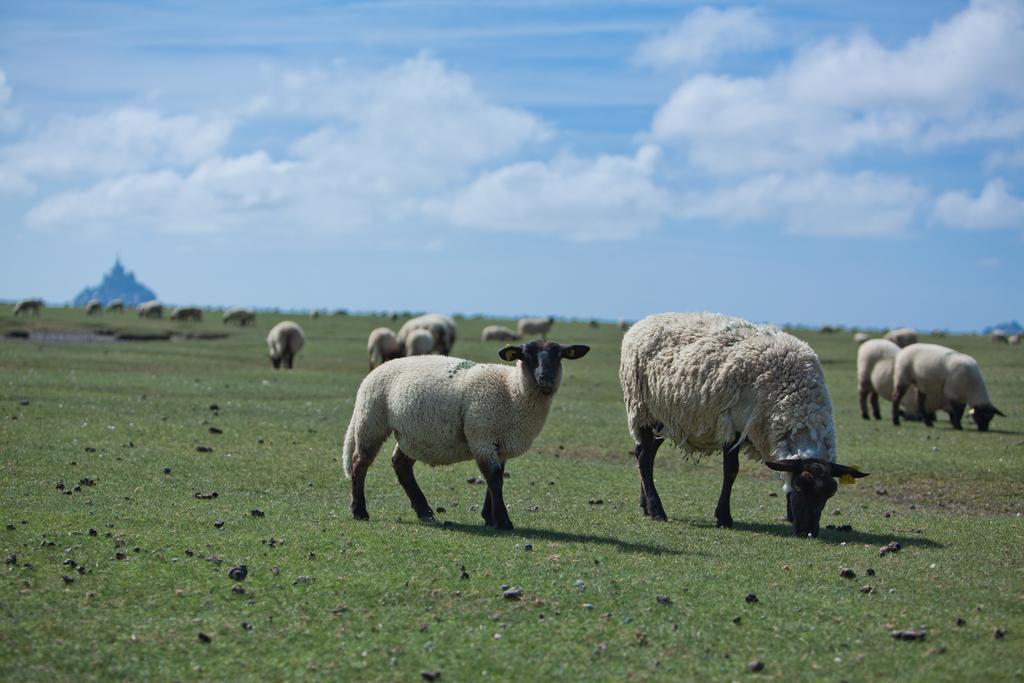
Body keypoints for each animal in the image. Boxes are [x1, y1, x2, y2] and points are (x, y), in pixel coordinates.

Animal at [342, 340, 590, 528]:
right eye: (526, 355)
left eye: (560, 356)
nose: (546, 379)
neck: (512, 390)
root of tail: (377, 369)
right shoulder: (482, 436)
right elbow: (494, 478)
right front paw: (502, 521)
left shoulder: (499, 443)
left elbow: (496, 478)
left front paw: (489, 517)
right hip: (371, 420)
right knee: (359, 463)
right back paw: (359, 511)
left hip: (413, 434)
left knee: (401, 465)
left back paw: (424, 511)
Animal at [620, 312, 868, 537]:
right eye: (800, 487)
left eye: (829, 494)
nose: (808, 532)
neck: (796, 398)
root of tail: (640, 323)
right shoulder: (732, 425)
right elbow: (731, 471)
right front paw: (723, 518)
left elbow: (783, 471)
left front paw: (789, 514)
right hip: (644, 410)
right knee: (644, 458)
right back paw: (656, 509)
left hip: (664, 419)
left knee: (645, 453)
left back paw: (645, 504)